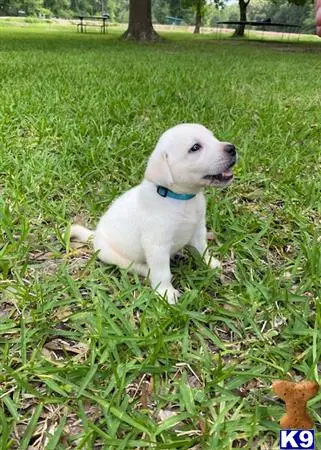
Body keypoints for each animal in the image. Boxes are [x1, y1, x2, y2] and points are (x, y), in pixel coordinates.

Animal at [70, 124, 235, 302]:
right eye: (195, 148)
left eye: (212, 137)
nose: (232, 148)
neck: (180, 199)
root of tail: (94, 235)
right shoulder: (157, 245)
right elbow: (162, 273)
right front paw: (166, 292)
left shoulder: (198, 230)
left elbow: (203, 249)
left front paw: (211, 263)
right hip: (111, 254)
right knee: (134, 266)